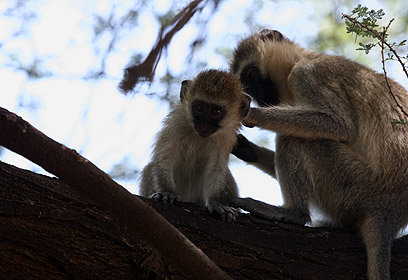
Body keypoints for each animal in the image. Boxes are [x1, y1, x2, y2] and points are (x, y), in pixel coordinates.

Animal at [141, 69, 252, 222]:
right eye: (199, 108)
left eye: (215, 112)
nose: (204, 124)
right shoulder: (176, 123)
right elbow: (165, 156)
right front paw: (167, 191)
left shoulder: (226, 137)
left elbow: (216, 166)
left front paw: (215, 202)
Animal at [230, 29, 408, 280]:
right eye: (246, 83)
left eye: (251, 76)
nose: (258, 98)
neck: (301, 58)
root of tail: (391, 212)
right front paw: (246, 149)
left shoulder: (307, 75)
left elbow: (340, 125)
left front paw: (249, 114)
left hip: (357, 188)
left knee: (293, 139)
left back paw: (294, 213)